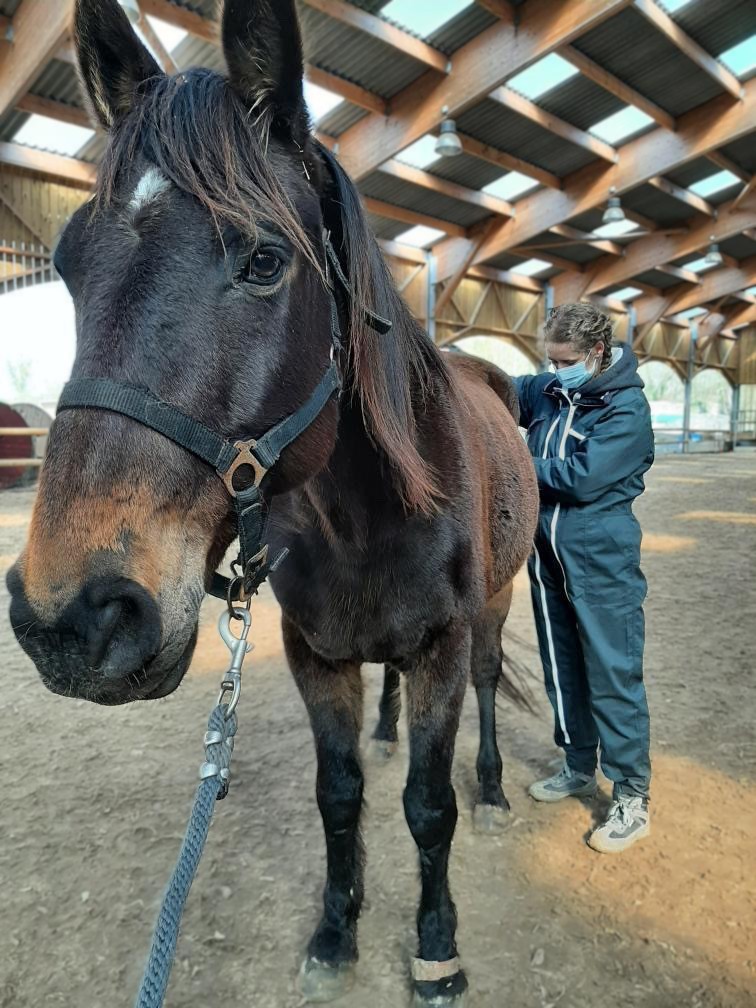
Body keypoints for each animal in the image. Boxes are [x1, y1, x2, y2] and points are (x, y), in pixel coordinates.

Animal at [6, 1, 538, 1004]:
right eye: (65, 264)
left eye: (264, 259)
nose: (74, 619)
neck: (368, 519)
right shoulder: (313, 653)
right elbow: (341, 796)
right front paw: (336, 931)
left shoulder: (443, 648)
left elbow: (429, 805)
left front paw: (435, 947)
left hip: (495, 606)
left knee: (490, 689)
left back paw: (493, 791)